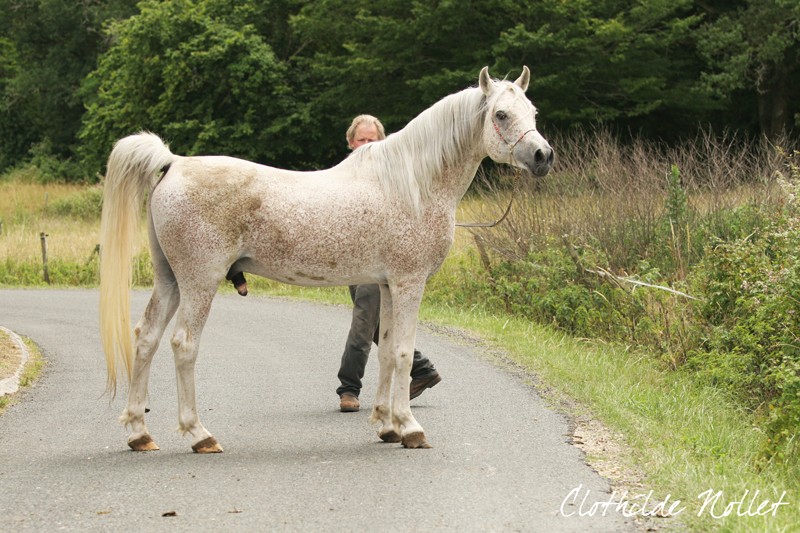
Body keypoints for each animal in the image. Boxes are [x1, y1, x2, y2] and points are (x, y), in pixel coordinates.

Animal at [98, 64, 552, 450]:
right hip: (199, 281)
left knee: (146, 338)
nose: (543, 156)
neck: (412, 183)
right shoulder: (409, 282)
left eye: (532, 111)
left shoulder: (386, 285)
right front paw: (410, 428)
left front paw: (386, 425)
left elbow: (387, 351)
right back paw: (199, 434)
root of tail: (173, 163)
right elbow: (404, 353)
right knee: (183, 344)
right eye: (501, 114)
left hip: (170, 279)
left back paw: (139, 432)